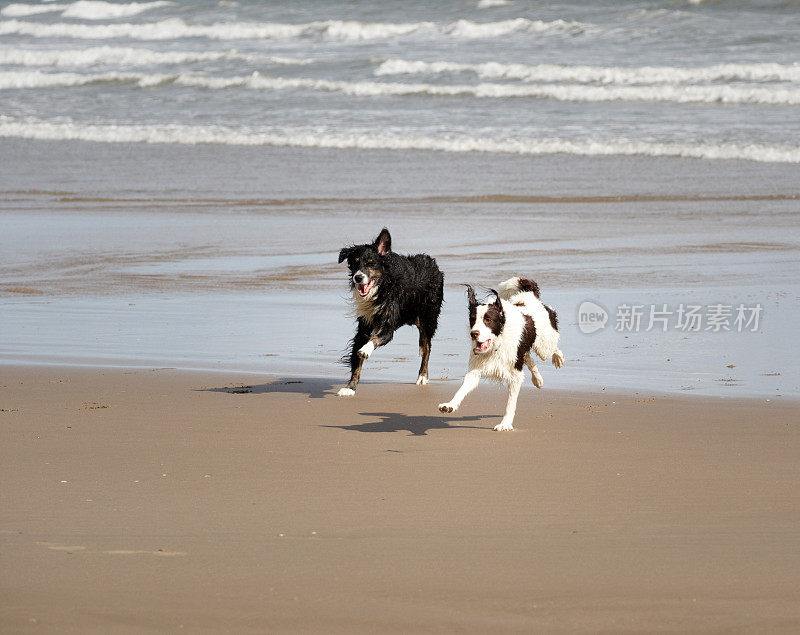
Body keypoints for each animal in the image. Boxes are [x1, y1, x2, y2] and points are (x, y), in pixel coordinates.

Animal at [332, 229, 440, 398]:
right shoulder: (364, 326)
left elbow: (375, 339)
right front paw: (350, 387)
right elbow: (356, 361)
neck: (382, 287)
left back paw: (422, 376)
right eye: (355, 263)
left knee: (427, 347)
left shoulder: (388, 326)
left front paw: (365, 349)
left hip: (428, 319)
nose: (358, 277)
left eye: (371, 263)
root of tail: (432, 262)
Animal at [438, 278, 564, 432]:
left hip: (543, 346)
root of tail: (529, 295)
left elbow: (510, 402)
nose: (473, 333)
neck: (497, 342)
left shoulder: (515, 374)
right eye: (472, 319)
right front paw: (449, 405)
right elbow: (462, 389)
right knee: (529, 358)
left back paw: (558, 359)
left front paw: (505, 424)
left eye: (487, 319)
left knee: (553, 348)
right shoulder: (475, 370)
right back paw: (537, 380)